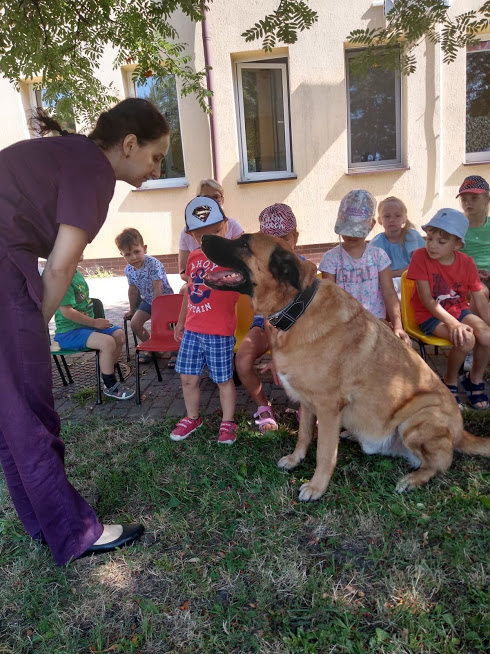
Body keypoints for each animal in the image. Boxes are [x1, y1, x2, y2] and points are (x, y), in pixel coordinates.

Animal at [201, 232, 490, 501]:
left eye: (244, 243)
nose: (203, 237)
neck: (297, 308)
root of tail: (460, 432)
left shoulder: (328, 407)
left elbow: (325, 452)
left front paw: (316, 487)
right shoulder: (307, 402)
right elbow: (304, 435)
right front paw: (295, 460)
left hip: (417, 418)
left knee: (440, 464)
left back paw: (413, 479)